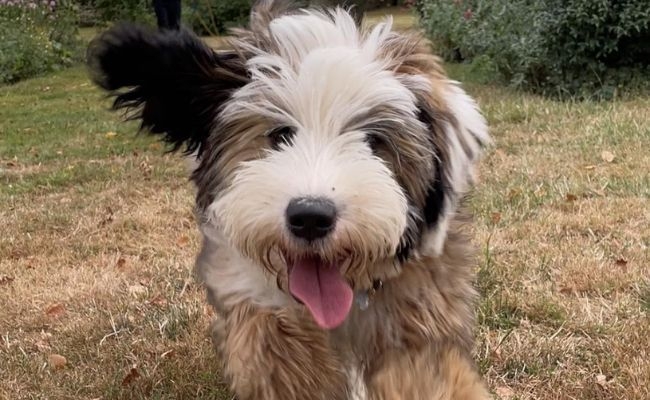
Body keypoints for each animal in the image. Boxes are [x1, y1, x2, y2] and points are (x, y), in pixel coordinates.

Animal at [88, 1, 488, 398]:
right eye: (280, 135)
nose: (310, 217)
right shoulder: (248, 297)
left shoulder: (423, 299)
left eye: (374, 141)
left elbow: (424, 366)